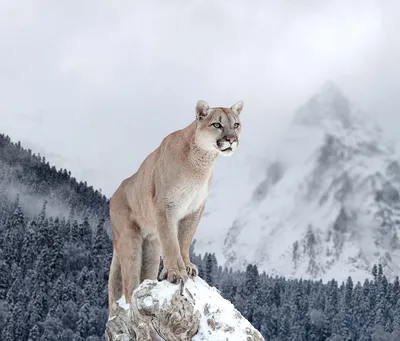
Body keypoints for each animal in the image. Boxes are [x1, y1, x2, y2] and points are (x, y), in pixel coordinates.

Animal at [107, 99, 244, 314]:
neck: (201, 163)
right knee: (129, 282)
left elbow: (185, 239)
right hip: (130, 238)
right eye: (217, 124)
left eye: (236, 124)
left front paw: (187, 266)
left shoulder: (195, 209)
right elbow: (172, 241)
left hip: (151, 246)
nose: (231, 139)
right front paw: (176, 272)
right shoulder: (166, 206)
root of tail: (114, 194)